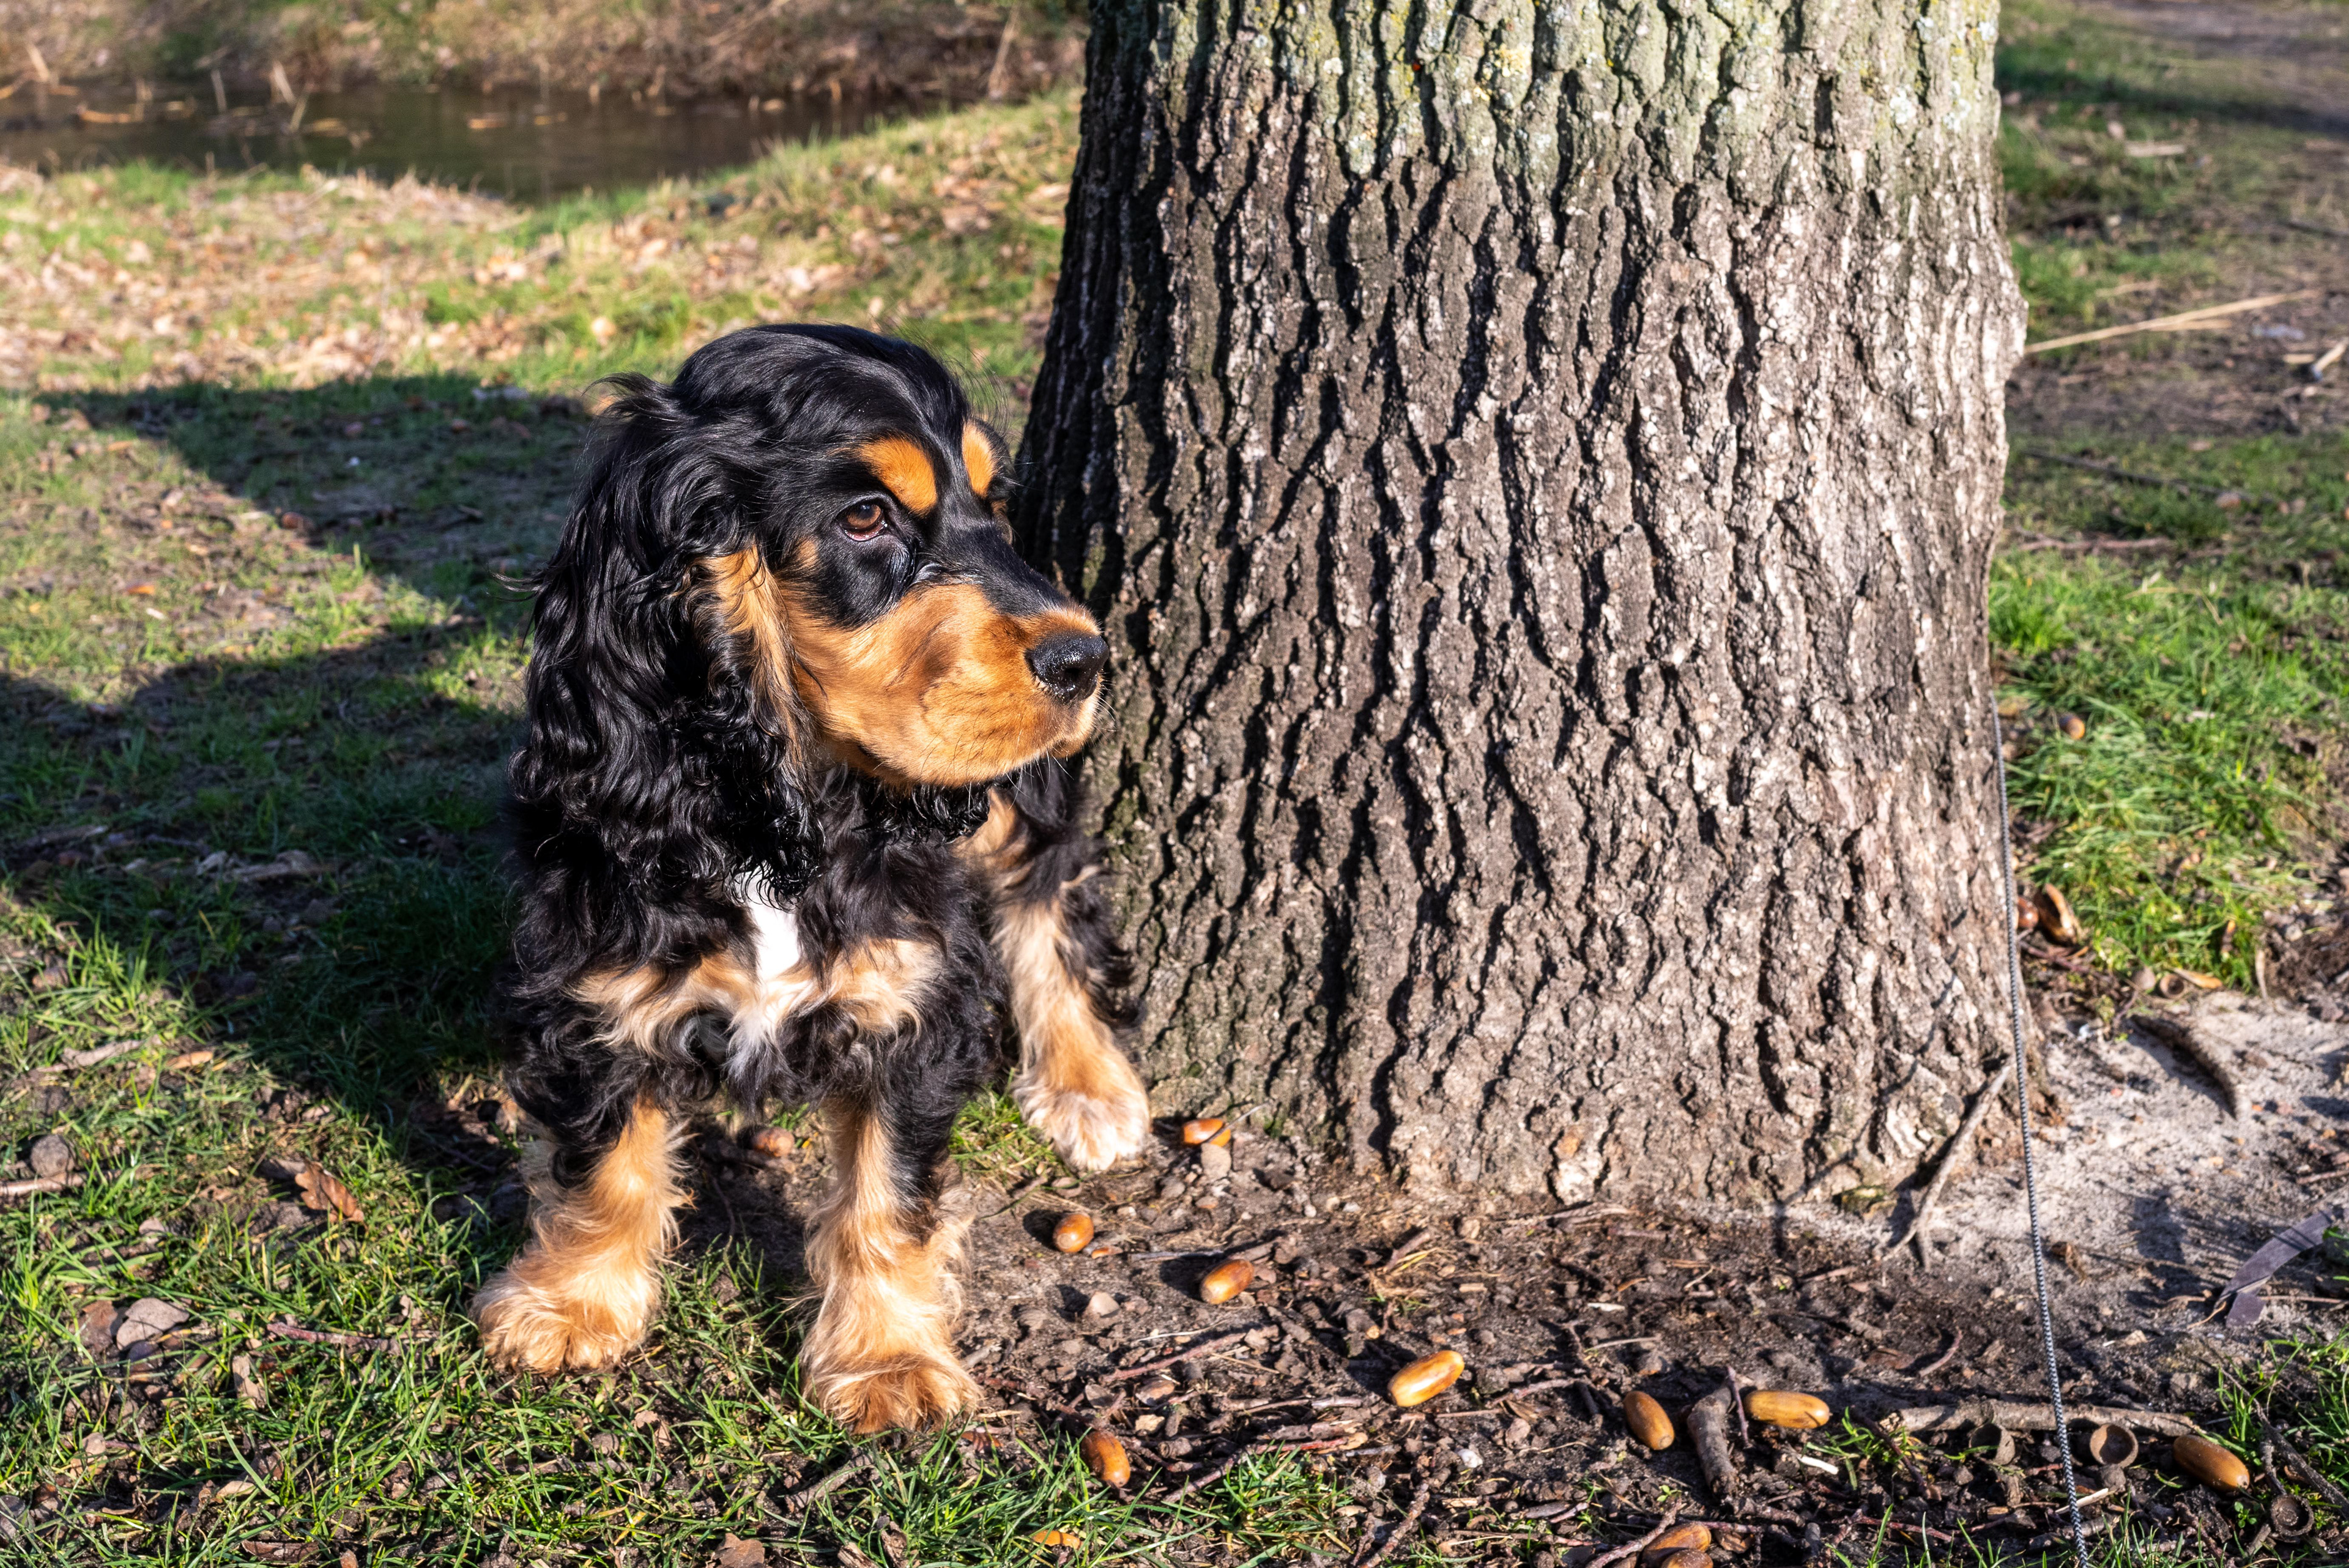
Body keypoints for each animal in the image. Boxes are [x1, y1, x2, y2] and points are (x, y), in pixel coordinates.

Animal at [471, 324, 1152, 1431]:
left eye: (992, 501)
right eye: (866, 516)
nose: (1085, 657)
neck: (781, 809)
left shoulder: (911, 1000)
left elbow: (885, 1197)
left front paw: (888, 1360)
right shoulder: (598, 972)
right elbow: (606, 1163)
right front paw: (567, 1307)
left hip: (1011, 799)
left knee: (1047, 884)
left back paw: (1088, 1084)